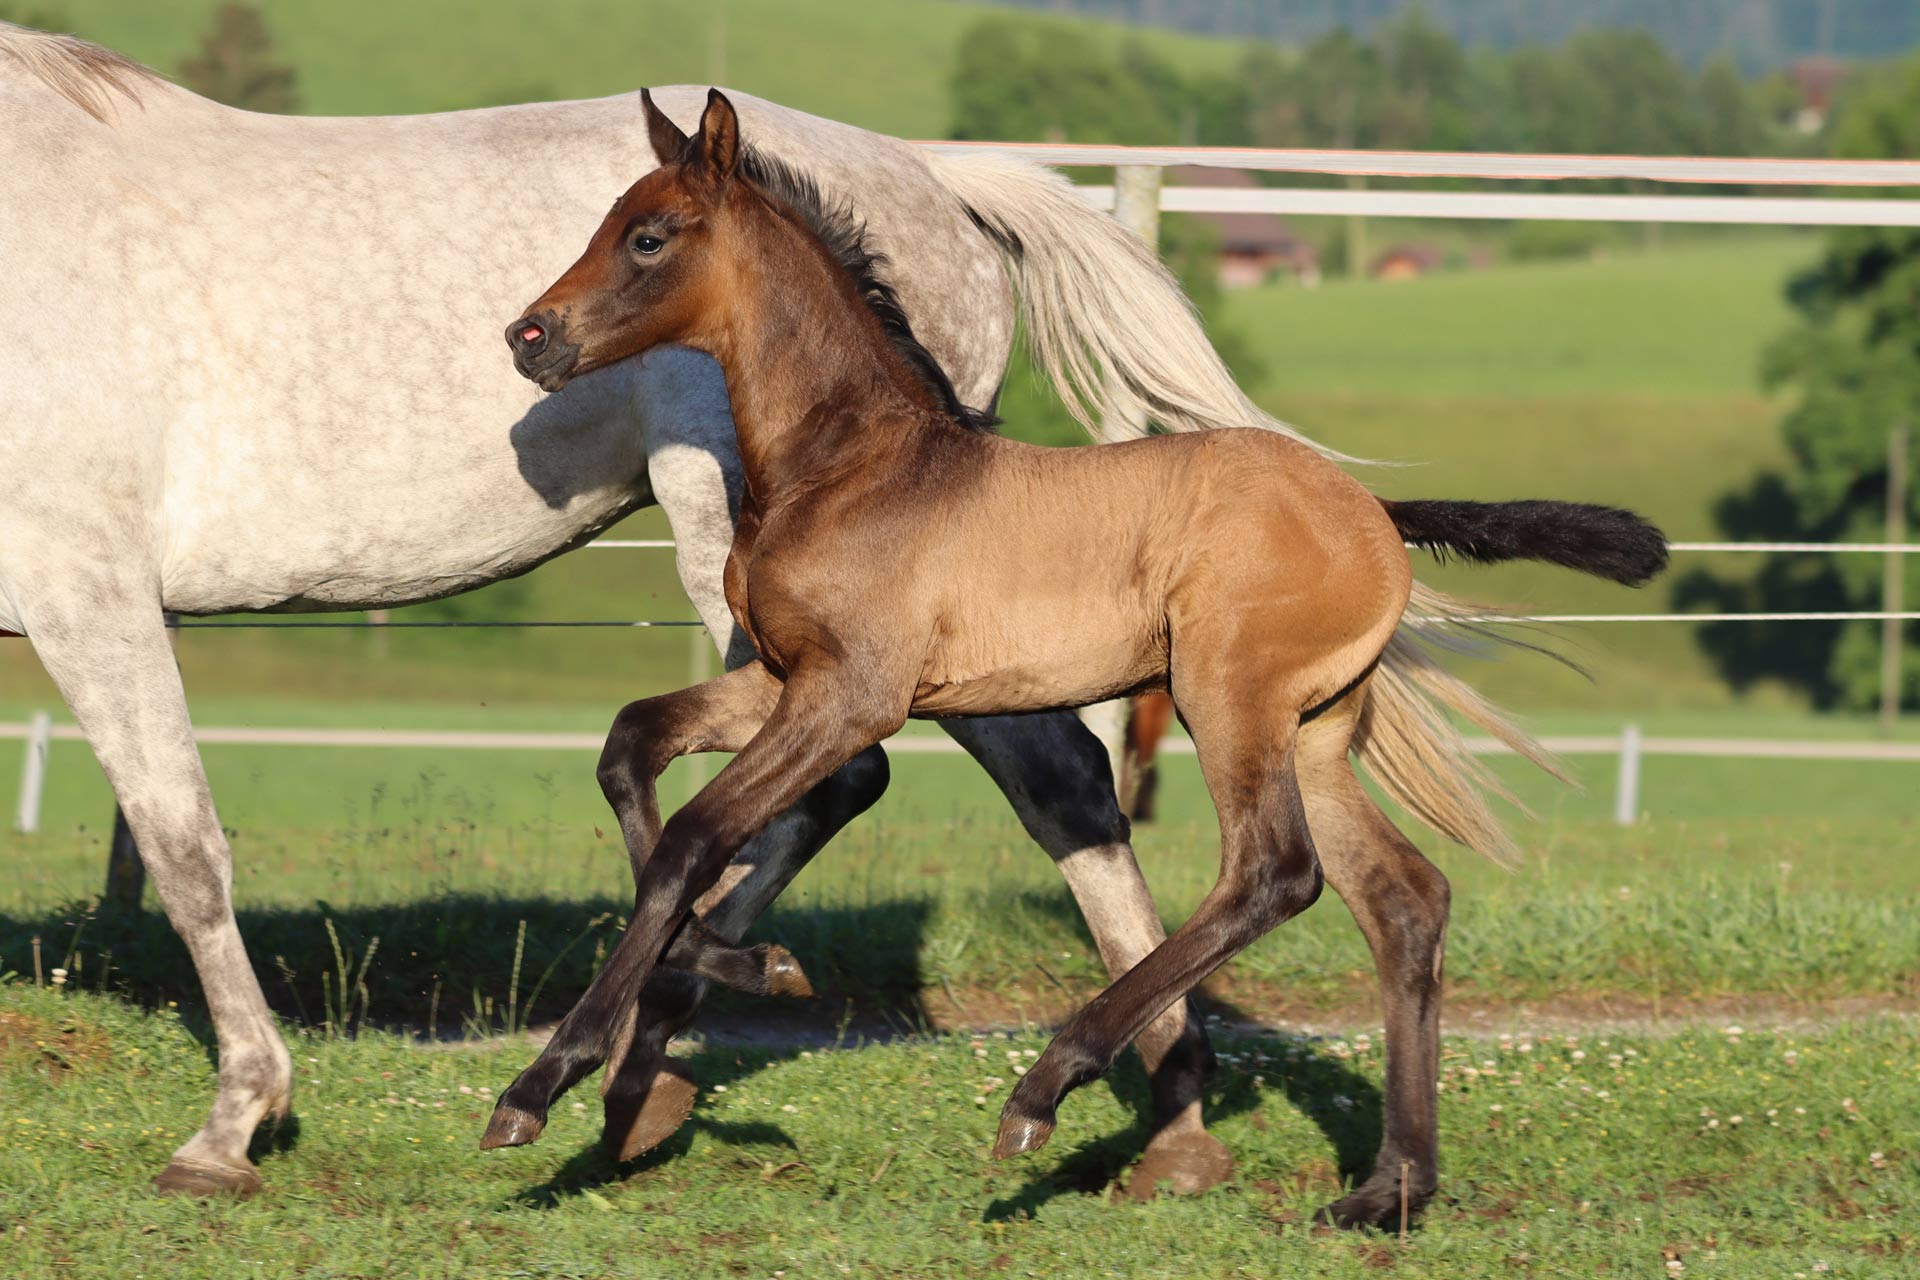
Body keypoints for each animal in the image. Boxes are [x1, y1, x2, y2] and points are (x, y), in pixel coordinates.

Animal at [476, 90, 1666, 1220]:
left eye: (648, 236)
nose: (529, 338)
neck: (850, 464)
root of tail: (1374, 510)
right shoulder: (777, 677)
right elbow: (630, 751)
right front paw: (749, 964)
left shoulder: (852, 695)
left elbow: (692, 836)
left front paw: (540, 1085)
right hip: (1317, 729)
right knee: (1404, 900)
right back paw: (1387, 1191)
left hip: (1226, 697)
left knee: (1275, 872)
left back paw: (1046, 1087)